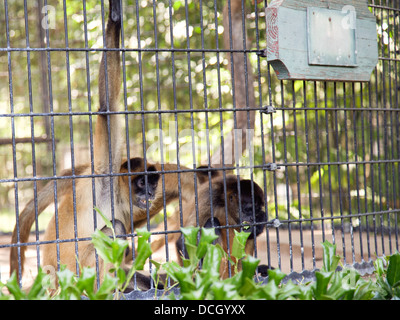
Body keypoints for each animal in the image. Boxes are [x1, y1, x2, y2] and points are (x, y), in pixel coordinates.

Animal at [9, 0, 197, 292]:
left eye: (152, 182)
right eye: (141, 183)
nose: (150, 191)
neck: (117, 196)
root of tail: (52, 280)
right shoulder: (103, 175)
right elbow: (107, 109)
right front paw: (115, 18)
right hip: (76, 274)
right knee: (114, 230)